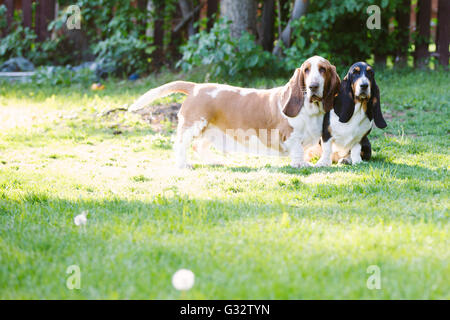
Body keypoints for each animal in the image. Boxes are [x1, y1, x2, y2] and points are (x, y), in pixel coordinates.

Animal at [128, 56, 340, 169]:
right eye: (306, 70)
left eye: (323, 70)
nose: (313, 86)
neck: (310, 110)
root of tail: (195, 87)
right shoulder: (290, 136)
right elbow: (297, 151)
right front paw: (301, 164)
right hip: (194, 126)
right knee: (181, 144)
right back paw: (184, 165)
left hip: (210, 131)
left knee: (198, 146)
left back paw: (214, 162)